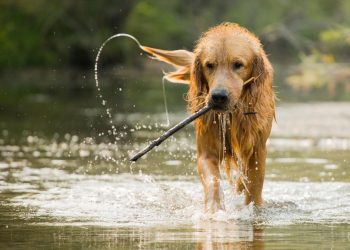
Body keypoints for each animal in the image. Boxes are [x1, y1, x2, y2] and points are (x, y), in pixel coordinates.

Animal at [141, 23, 274, 211]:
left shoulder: (257, 150)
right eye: (209, 65)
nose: (218, 96)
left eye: (238, 65)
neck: (231, 116)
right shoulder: (207, 151)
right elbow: (213, 182)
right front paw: (214, 210)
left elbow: (254, 188)